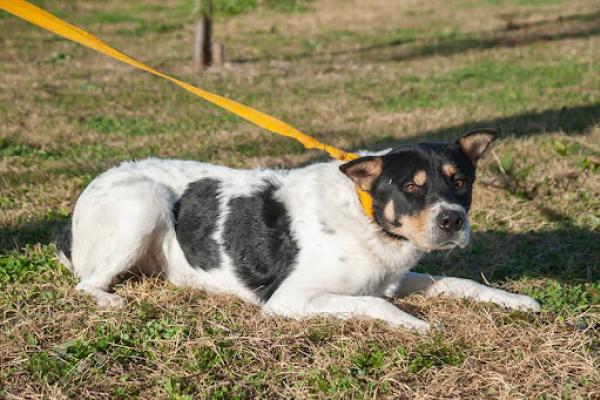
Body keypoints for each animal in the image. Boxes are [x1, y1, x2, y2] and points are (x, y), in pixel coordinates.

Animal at [57, 129, 540, 332]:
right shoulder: (288, 299)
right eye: (410, 188)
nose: (452, 221)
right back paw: (110, 299)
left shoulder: (394, 279)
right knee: (85, 284)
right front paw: (415, 323)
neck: (365, 215)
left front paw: (514, 300)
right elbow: (373, 304)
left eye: (460, 182)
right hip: (145, 202)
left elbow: (458, 281)